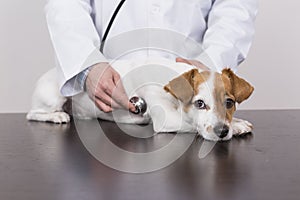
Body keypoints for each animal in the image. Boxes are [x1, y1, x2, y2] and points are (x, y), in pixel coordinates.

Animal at [27, 58, 253, 141]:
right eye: (200, 103)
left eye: (229, 103)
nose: (222, 132)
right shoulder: (167, 119)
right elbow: (191, 123)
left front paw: (238, 123)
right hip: (53, 96)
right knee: (32, 114)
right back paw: (56, 116)